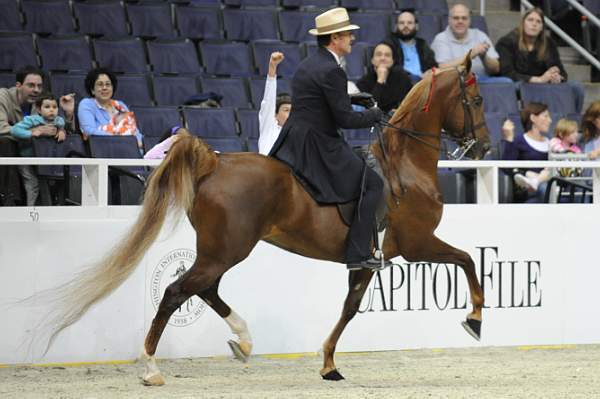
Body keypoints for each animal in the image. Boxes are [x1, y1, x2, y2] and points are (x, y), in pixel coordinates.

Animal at [45, 54, 488, 384]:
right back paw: (152, 368)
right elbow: (467, 260)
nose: (483, 146)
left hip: (220, 250)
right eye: (478, 100)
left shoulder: (367, 260)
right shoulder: (416, 245)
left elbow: (349, 307)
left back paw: (242, 341)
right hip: (227, 250)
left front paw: (328, 363)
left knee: (205, 290)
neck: (405, 167)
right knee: (176, 292)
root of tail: (213, 163)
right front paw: (475, 320)